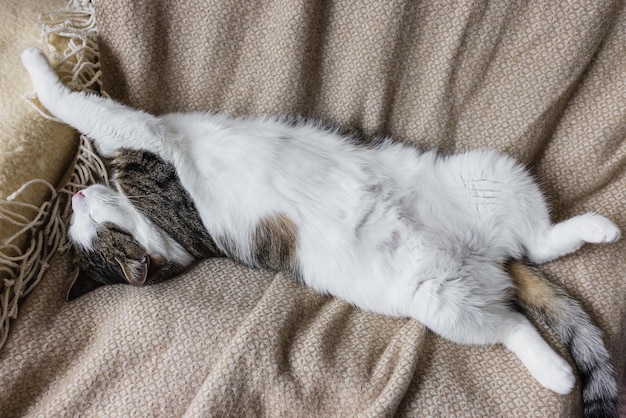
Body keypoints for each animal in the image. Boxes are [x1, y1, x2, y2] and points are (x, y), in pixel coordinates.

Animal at [20, 48, 620, 414]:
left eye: (86, 228)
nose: (75, 198)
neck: (162, 236)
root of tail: (488, 256)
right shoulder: (143, 145)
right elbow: (78, 106)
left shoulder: (138, 137)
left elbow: (77, 106)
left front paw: (31, 59)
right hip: (443, 303)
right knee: (513, 323)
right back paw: (558, 373)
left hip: (489, 173)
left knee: (540, 238)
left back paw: (599, 228)